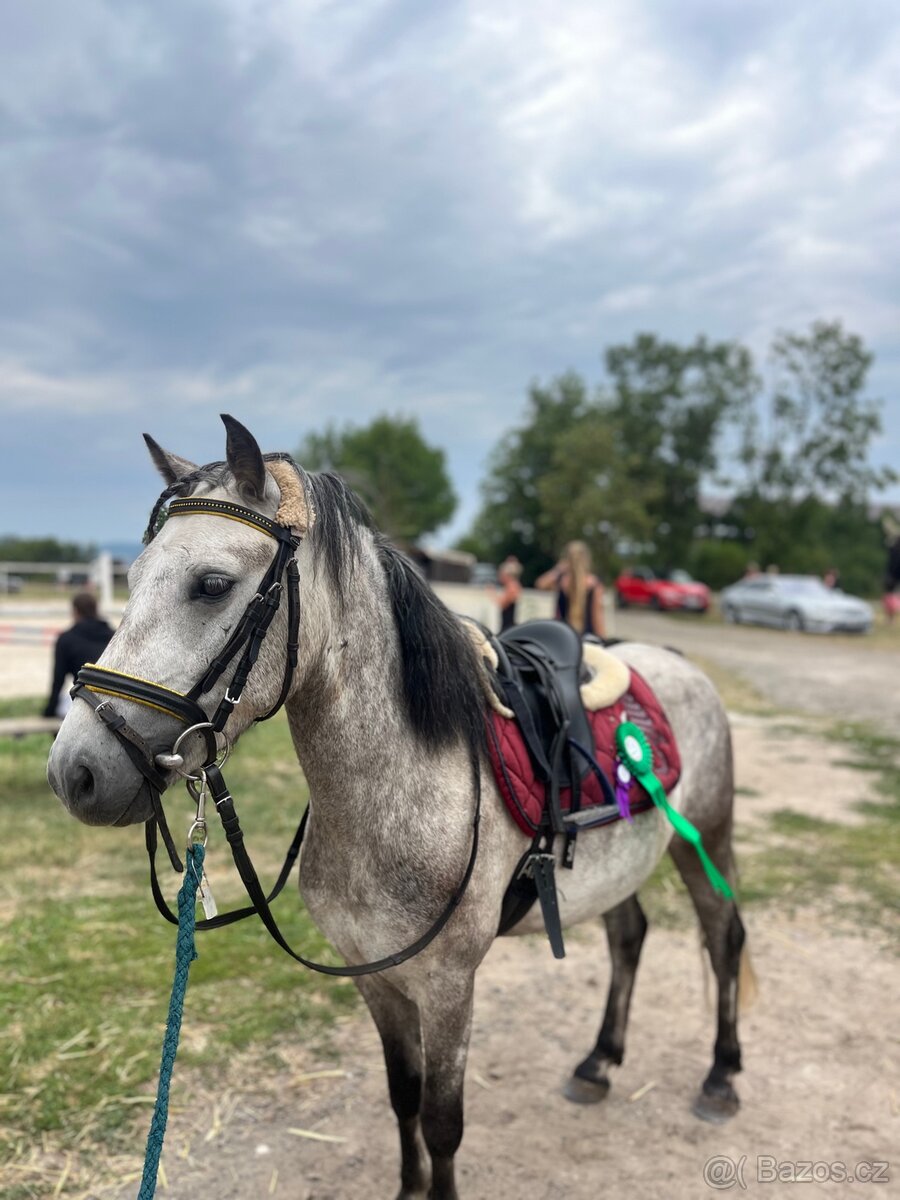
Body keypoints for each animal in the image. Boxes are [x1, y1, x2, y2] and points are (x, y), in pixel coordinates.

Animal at [48, 415, 751, 1200]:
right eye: (133, 578)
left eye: (212, 585)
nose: (77, 771)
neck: (397, 797)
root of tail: (678, 662)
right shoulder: (374, 978)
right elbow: (402, 1095)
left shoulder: (447, 989)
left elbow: (443, 1122)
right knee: (630, 937)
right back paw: (598, 1063)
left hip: (706, 837)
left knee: (724, 936)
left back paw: (721, 1076)